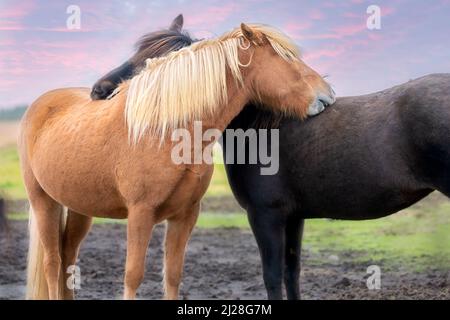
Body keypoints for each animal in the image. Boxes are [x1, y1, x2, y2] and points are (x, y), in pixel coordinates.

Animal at [19, 23, 334, 300]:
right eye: (287, 59)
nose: (327, 94)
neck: (167, 131)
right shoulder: (141, 213)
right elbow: (133, 275)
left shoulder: (185, 215)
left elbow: (172, 275)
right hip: (43, 201)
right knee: (52, 263)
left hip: (79, 207)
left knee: (67, 256)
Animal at [89, 20, 448, 300]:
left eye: (151, 62)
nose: (99, 90)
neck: (265, 126)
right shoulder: (294, 218)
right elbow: (292, 273)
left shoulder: (266, 216)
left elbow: (273, 277)